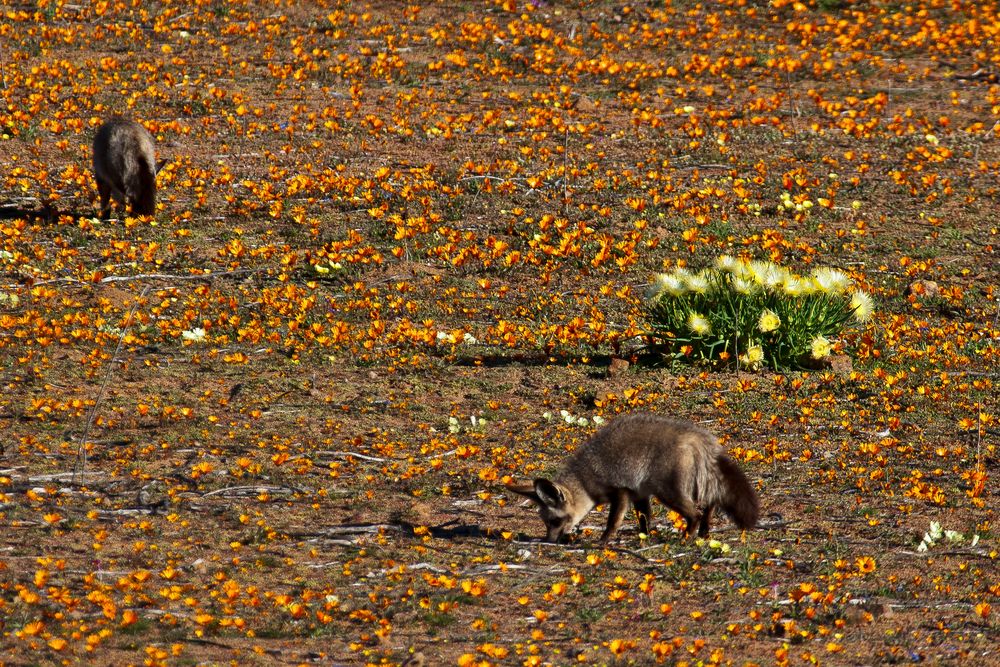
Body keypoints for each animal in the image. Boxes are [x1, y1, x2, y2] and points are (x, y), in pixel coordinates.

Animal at [508, 414, 756, 544]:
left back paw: (686, 537)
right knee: (709, 506)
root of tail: (699, 436)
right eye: (546, 523)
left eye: (554, 521)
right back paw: (704, 533)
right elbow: (644, 520)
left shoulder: (620, 491)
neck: (584, 477)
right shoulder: (639, 494)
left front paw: (604, 541)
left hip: (669, 494)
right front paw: (644, 537)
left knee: (695, 513)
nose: (548, 541)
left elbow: (613, 521)